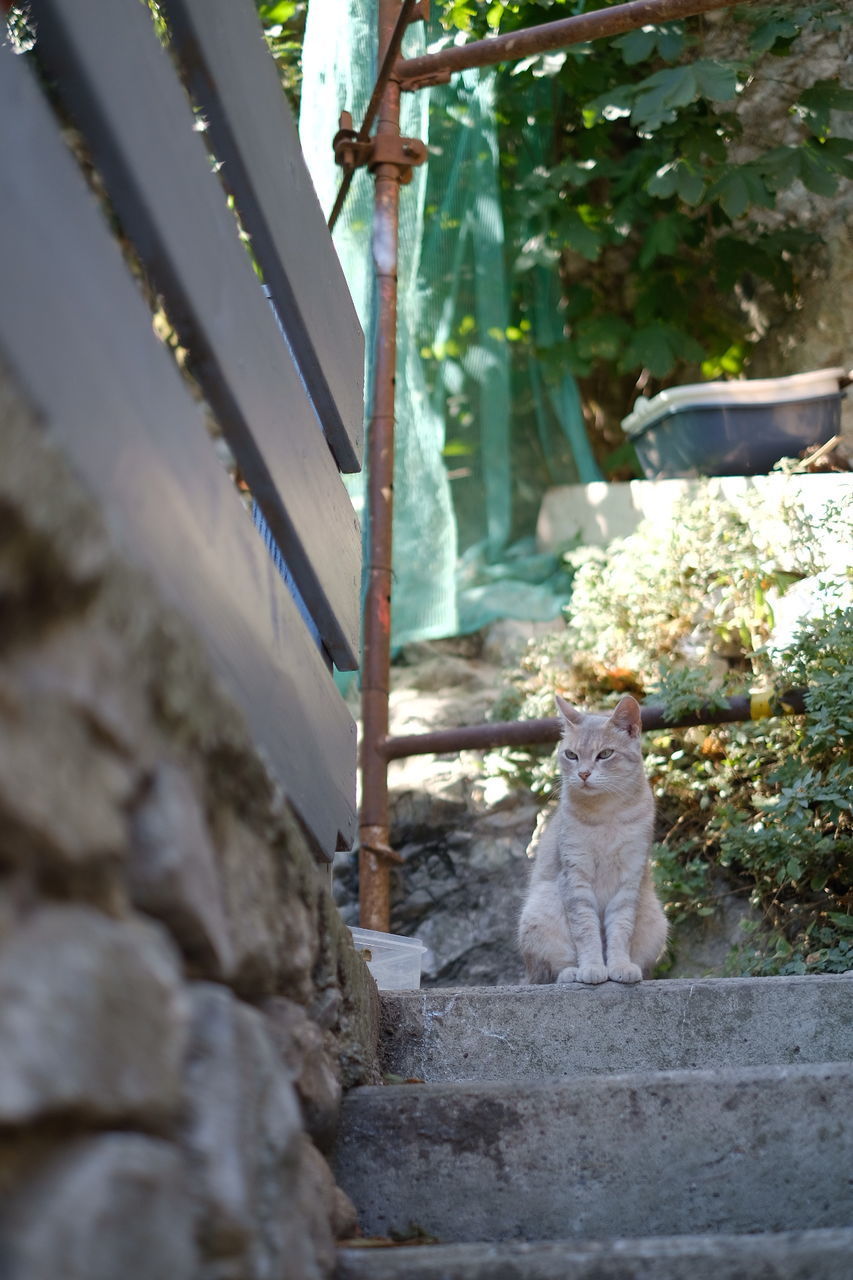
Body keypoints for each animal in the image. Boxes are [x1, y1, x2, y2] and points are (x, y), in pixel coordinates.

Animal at [514, 696, 666, 983]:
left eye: (605, 754)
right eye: (571, 755)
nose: (583, 774)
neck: (607, 814)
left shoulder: (629, 878)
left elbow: (620, 929)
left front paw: (619, 966)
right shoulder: (575, 876)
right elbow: (585, 930)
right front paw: (593, 967)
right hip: (542, 904)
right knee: (550, 971)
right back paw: (571, 972)